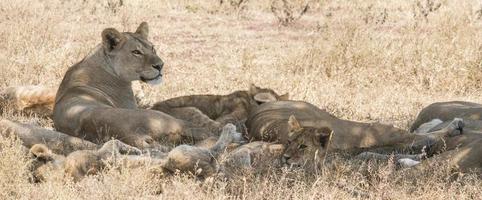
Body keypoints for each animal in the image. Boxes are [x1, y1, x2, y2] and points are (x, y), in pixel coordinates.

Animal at [51, 22, 214, 148]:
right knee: (198, 130)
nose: (160, 65)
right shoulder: (132, 105)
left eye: (152, 48)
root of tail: (128, 136)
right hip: (156, 117)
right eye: (136, 52)